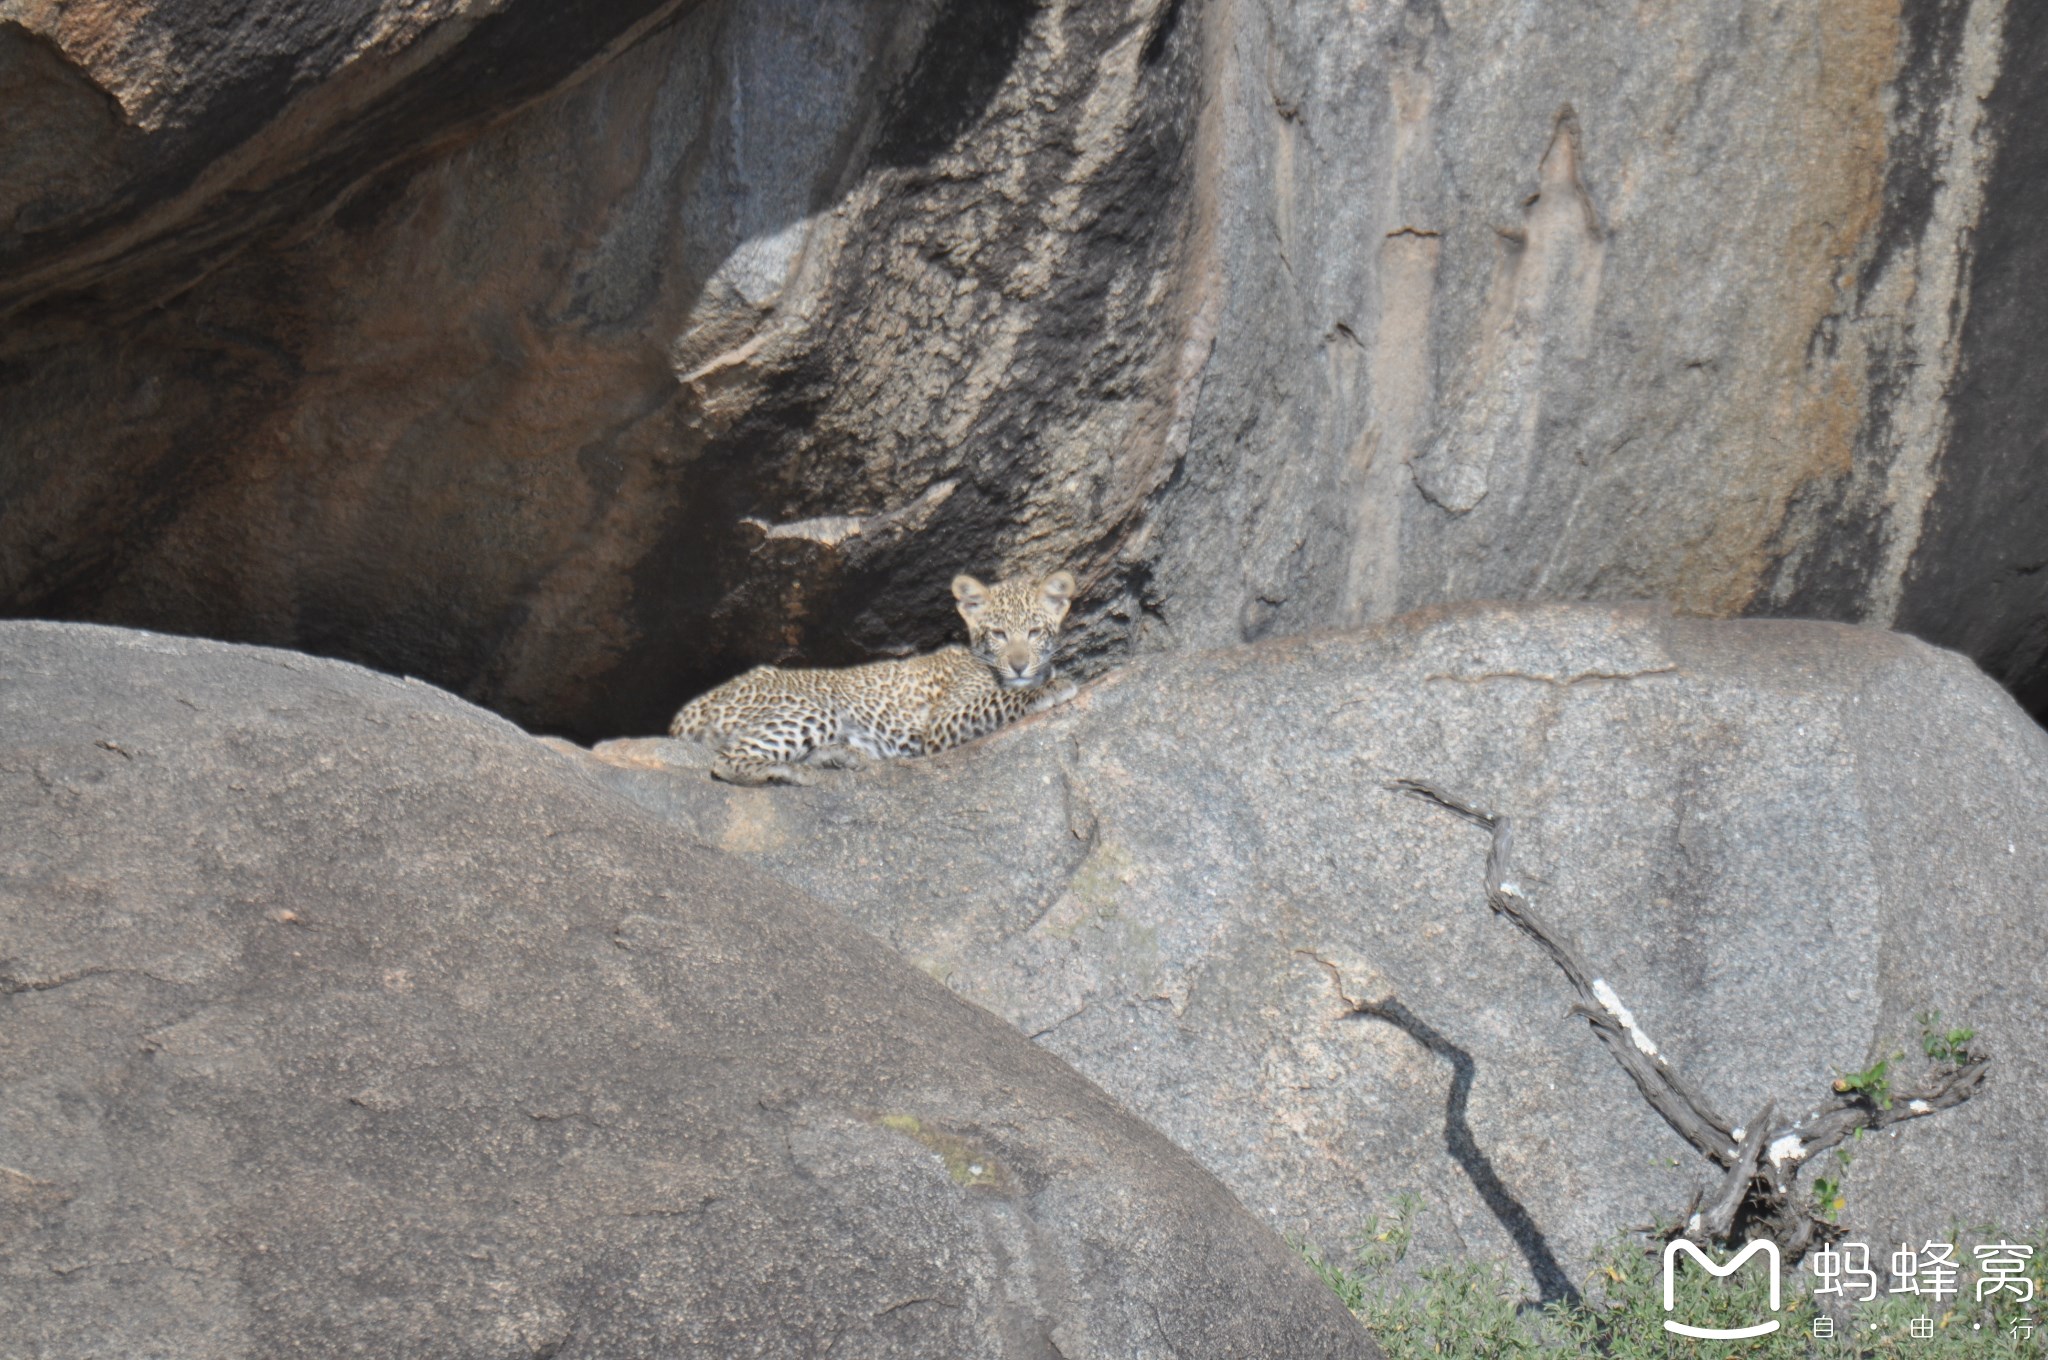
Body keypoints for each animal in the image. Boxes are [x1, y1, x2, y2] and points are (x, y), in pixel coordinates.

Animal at [671, 569, 1089, 786]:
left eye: (1034, 632)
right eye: (999, 634)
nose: (1018, 665)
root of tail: (686, 711)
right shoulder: (940, 725)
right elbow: (1000, 698)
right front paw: (1052, 686)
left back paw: (839, 757)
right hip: (811, 708)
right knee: (727, 761)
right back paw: (786, 772)